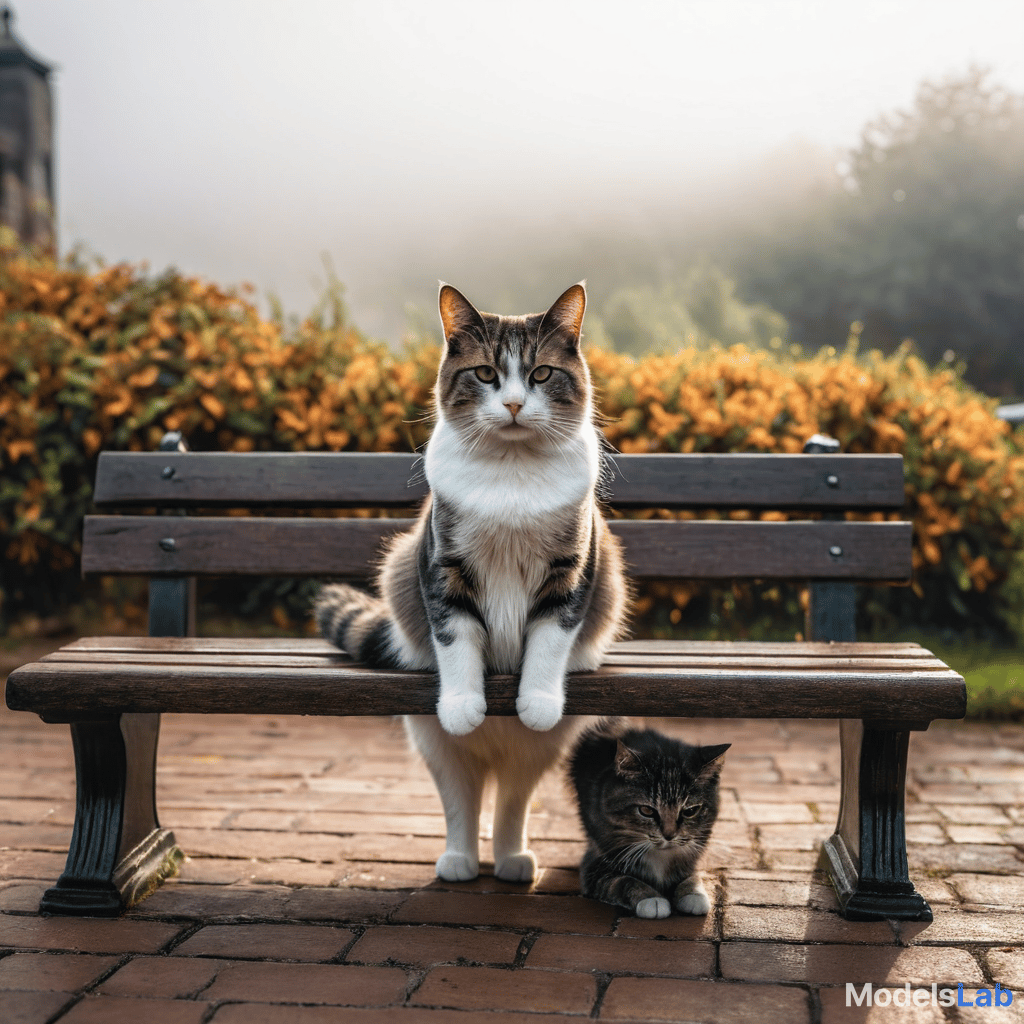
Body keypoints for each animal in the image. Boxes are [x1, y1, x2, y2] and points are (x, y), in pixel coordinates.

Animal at [315, 284, 626, 884]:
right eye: (485, 373)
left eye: (542, 374)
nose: (513, 404)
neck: (511, 472)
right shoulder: (444, 565)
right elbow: (455, 635)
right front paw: (463, 702)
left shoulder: (571, 568)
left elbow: (550, 639)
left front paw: (538, 697)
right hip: (433, 741)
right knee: (460, 795)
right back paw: (459, 860)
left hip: (540, 751)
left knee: (513, 796)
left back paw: (511, 860)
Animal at [569, 720, 729, 921]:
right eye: (646, 811)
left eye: (690, 811)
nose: (669, 835)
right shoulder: (594, 865)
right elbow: (623, 880)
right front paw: (652, 899)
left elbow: (692, 875)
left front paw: (694, 894)